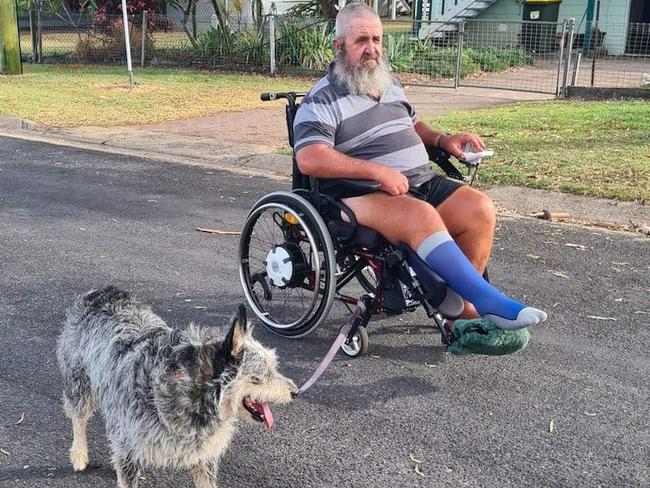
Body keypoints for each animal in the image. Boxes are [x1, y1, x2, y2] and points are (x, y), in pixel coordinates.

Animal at [57, 286, 298, 488]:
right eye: (260, 376)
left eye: (273, 366)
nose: (295, 391)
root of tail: (102, 292)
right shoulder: (128, 449)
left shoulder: (205, 457)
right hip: (79, 384)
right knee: (78, 418)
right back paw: (79, 454)